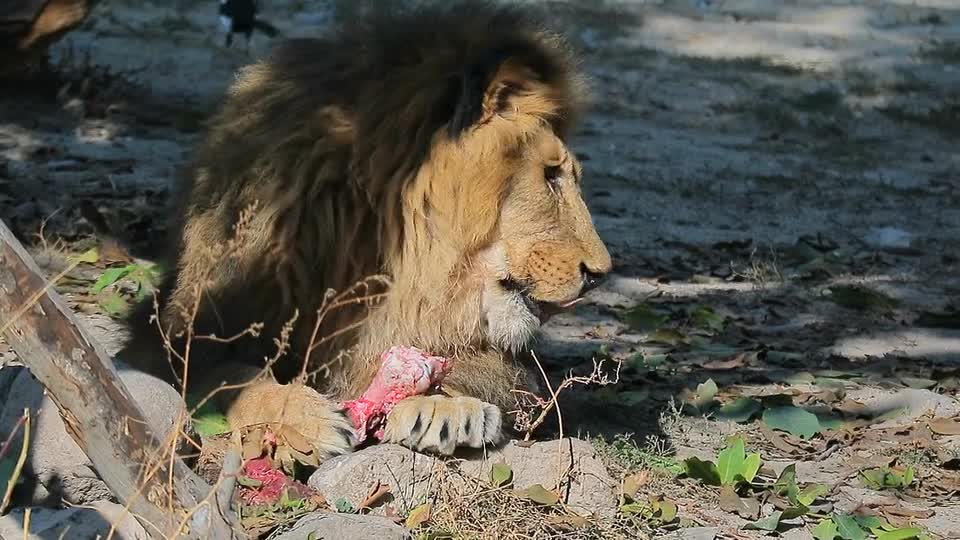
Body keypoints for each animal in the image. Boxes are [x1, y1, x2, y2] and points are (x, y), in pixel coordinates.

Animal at [124, 1, 612, 460]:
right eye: (550, 176)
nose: (601, 274)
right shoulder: (178, 330)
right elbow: (235, 377)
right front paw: (303, 417)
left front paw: (443, 407)